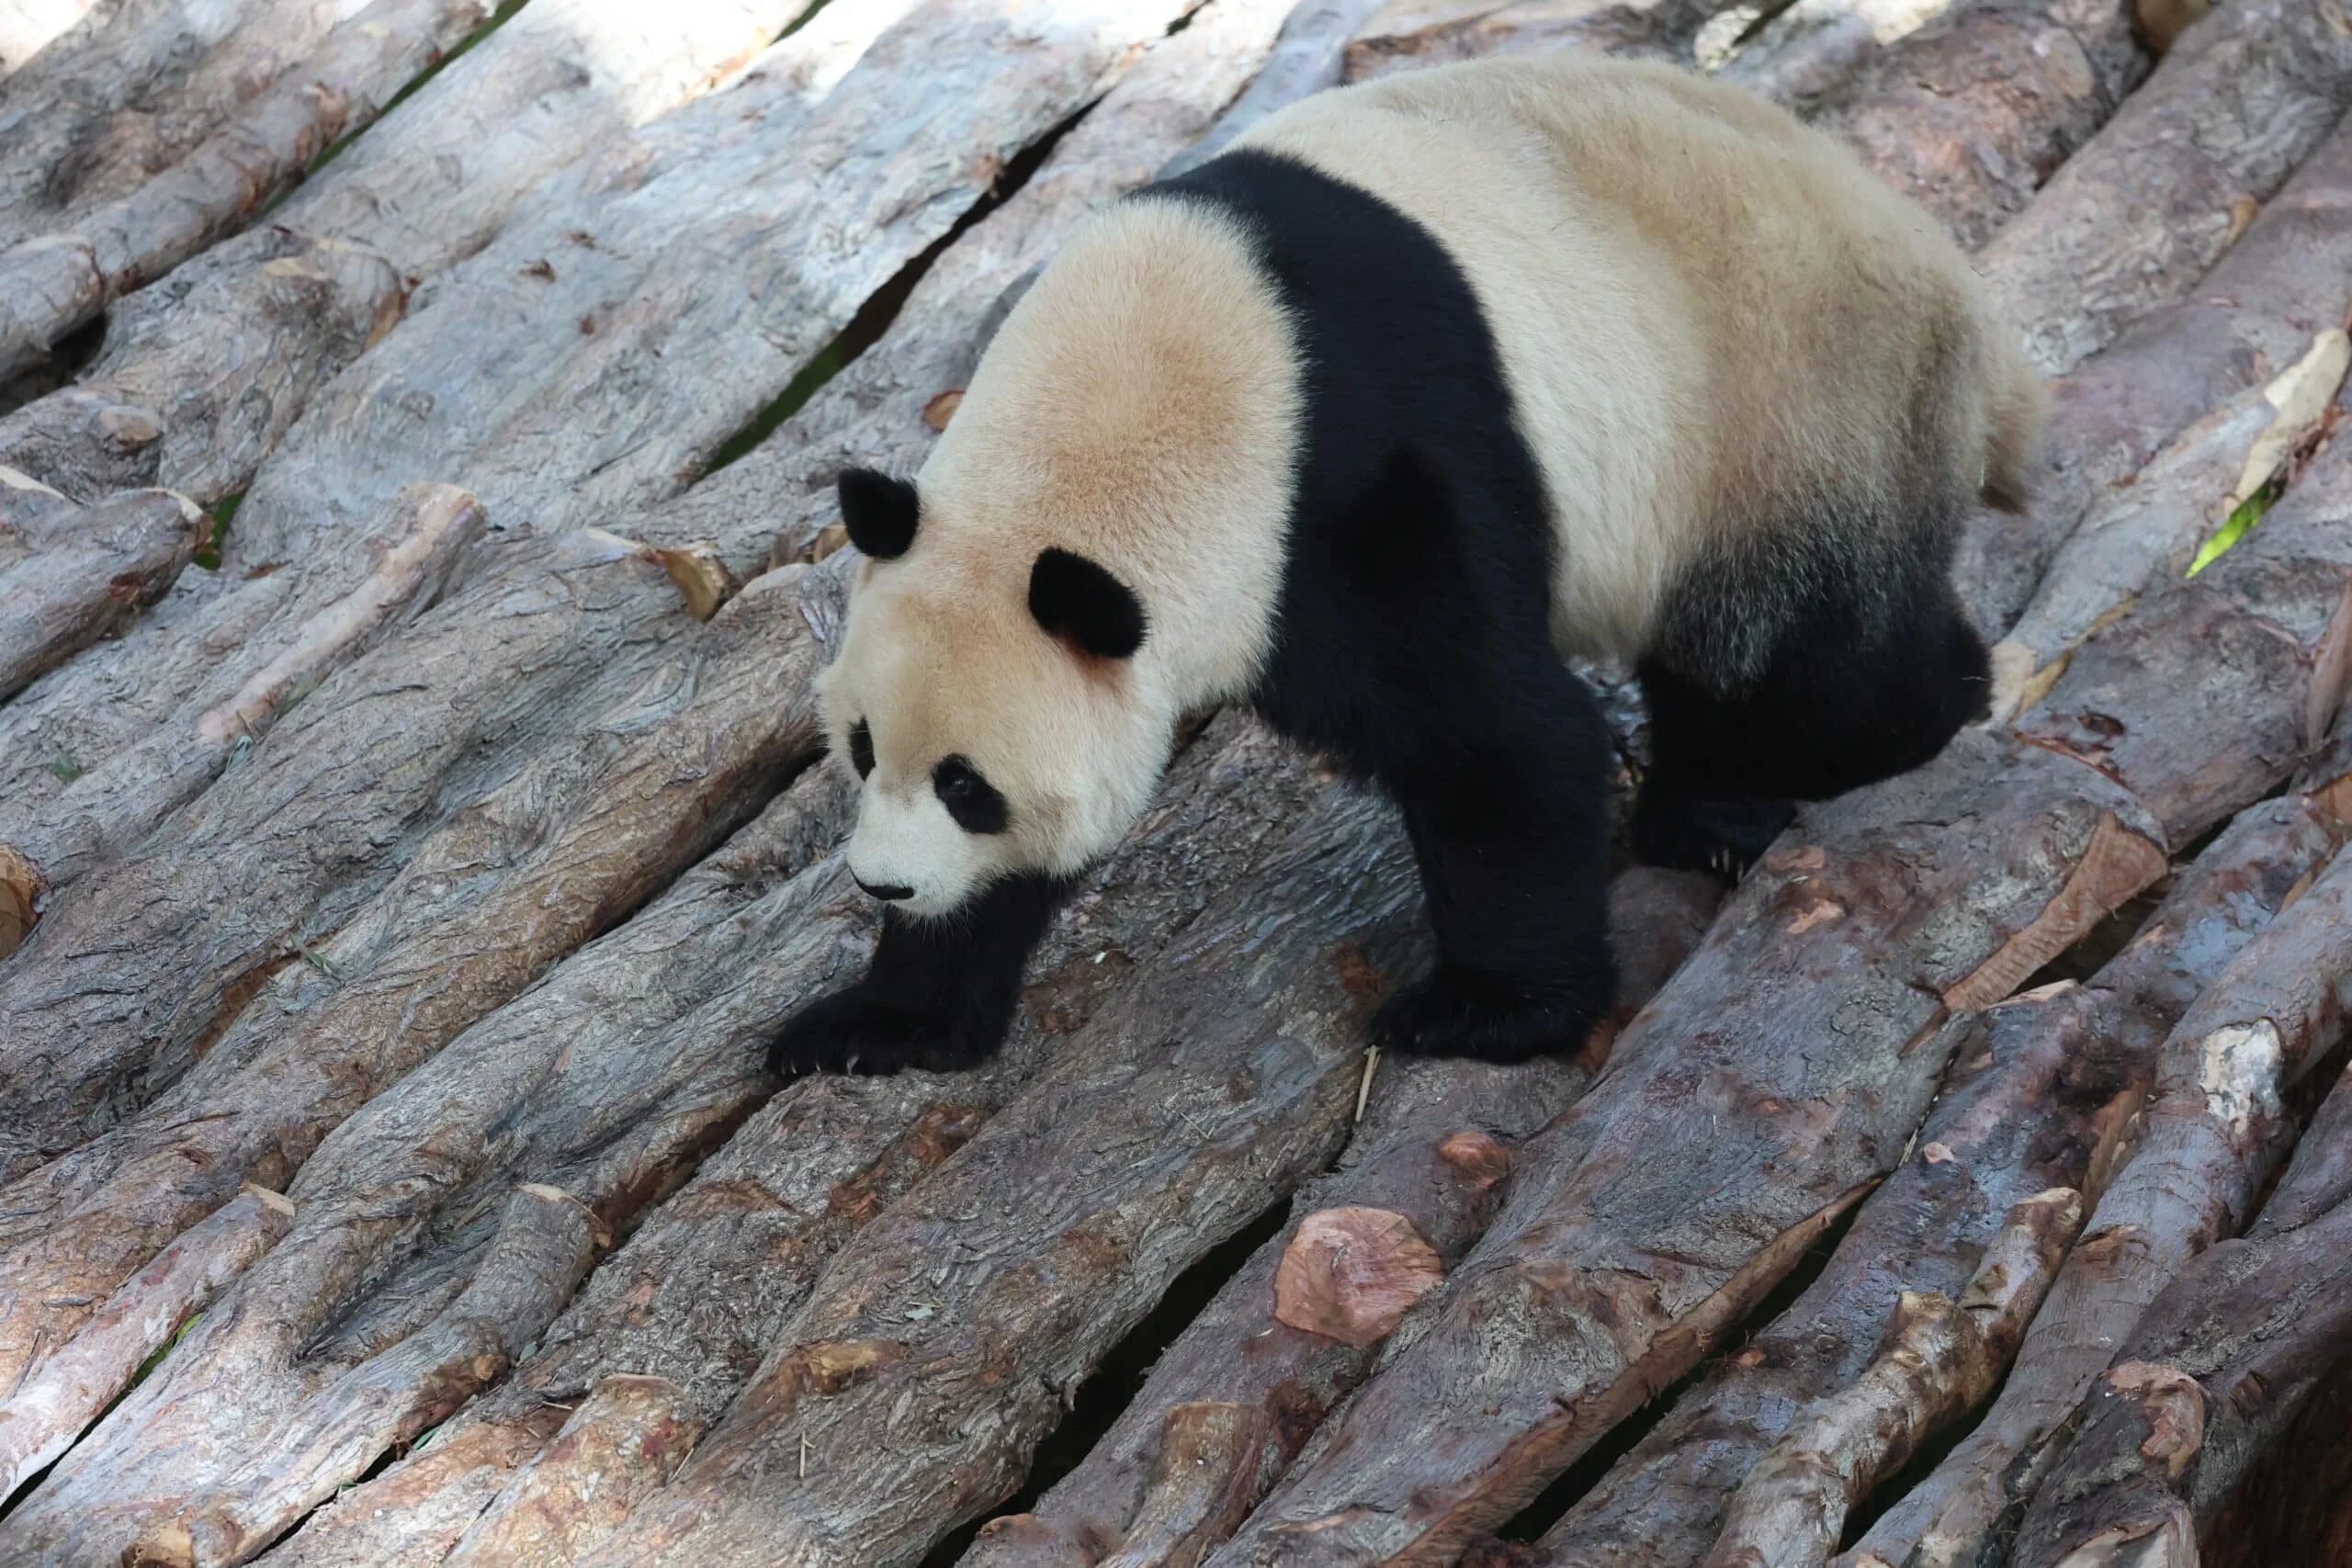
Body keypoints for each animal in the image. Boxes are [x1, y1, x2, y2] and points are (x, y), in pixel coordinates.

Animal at [769, 52, 2040, 1077]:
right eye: (863, 749)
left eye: (968, 787)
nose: (881, 884)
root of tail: (1962, 298)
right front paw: (884, 1020)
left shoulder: (1354, 495)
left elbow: (1499, 745)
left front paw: (1485, 1012)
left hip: (1789, 411)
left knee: (1806, 660)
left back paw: (1881, 730)